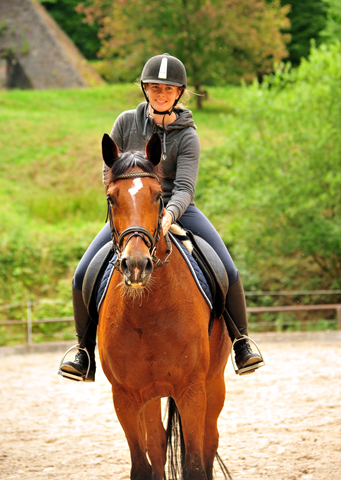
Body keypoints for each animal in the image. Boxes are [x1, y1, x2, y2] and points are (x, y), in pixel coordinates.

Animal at [98, 132, 231, 480]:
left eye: (158, 196)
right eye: (111, 198)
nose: (136, 265)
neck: (148, 312)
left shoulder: (192, 390)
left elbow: (195, 464)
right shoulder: (125, 396)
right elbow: (143, 465)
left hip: (214, 383)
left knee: (210, 441)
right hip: (151, 394)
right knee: (157, 446)